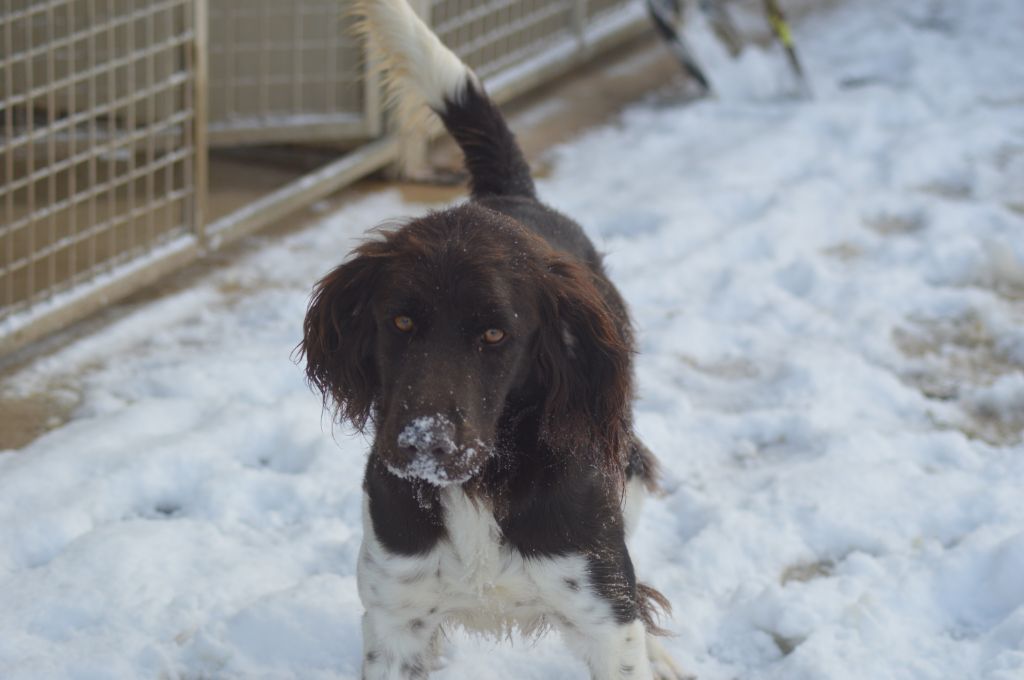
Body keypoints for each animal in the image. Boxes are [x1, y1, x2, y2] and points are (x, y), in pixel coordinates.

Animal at [301, 2, 688, 675]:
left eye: (494, 333)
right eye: (400, 322)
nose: (424, 443)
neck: (478, 489)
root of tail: (509, 196)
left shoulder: (600, 605)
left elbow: (626, 618)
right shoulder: (394, 613)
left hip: (626, 461)